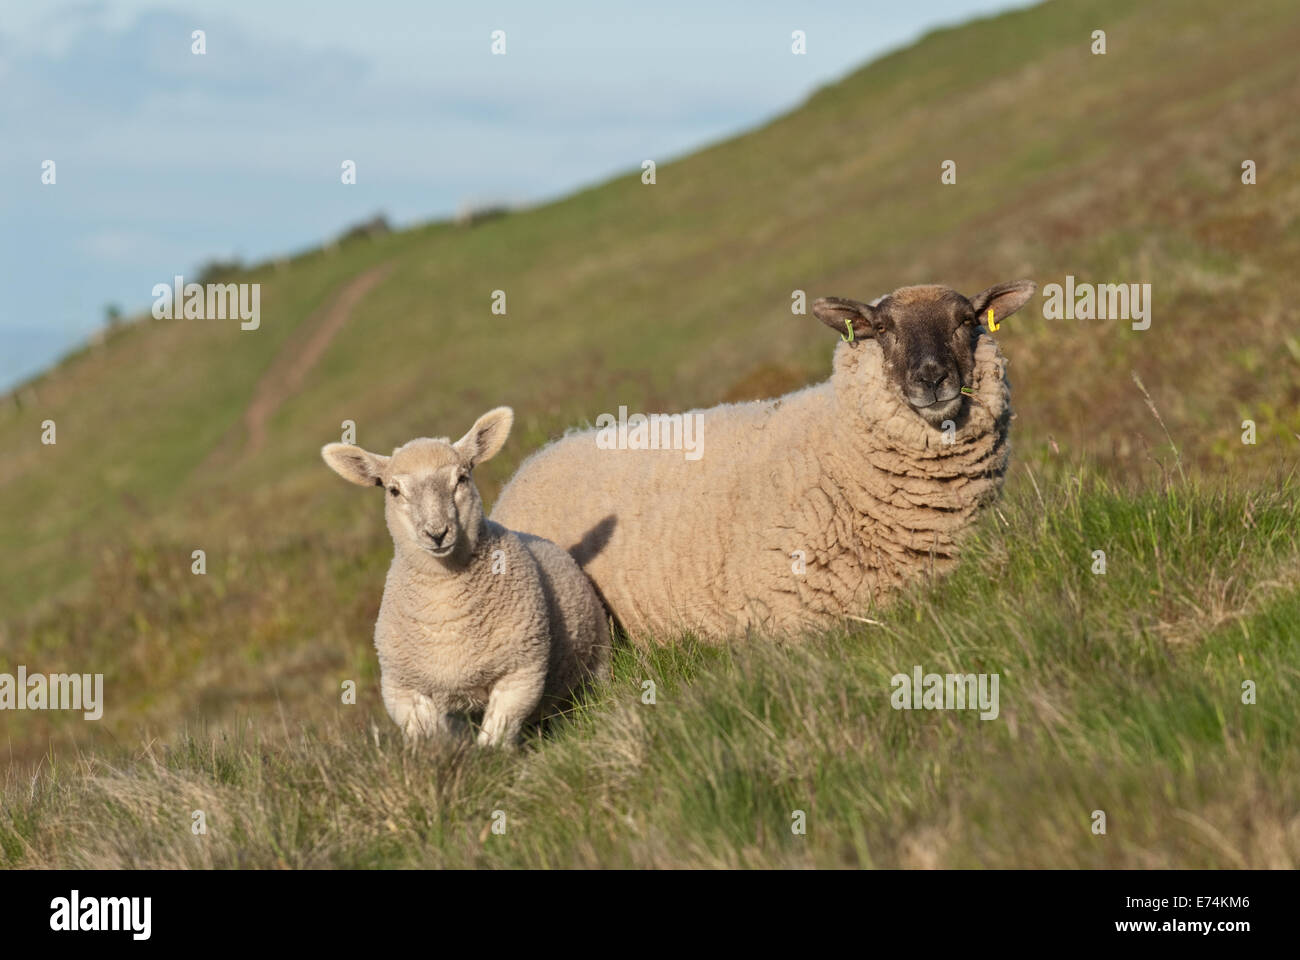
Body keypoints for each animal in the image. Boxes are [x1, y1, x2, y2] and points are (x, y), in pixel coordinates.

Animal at [322, 403, 611, 738]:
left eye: (461, 478)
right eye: (393, 490)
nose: (436, 533)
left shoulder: (521, 672)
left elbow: (496, 735)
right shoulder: (402, 690)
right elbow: (428, 738)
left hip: (598, 653)